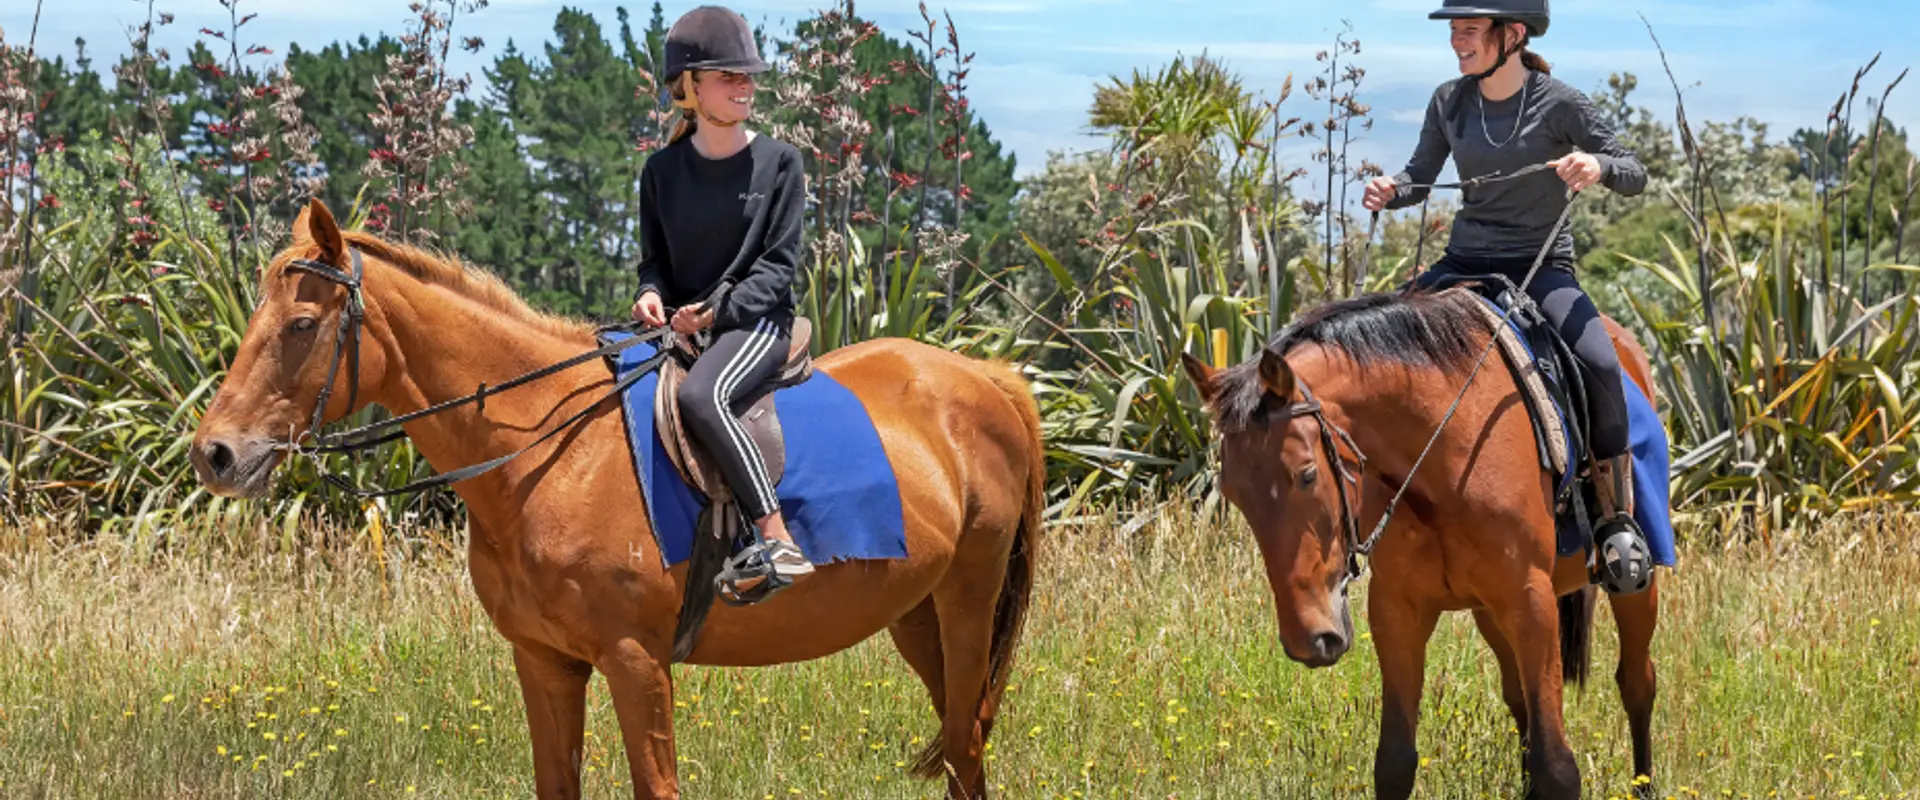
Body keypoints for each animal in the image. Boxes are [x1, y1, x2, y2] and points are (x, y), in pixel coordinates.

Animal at [190, 199, 1046, 800]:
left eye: (302, 324)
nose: (215, 454)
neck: (548, 454)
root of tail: (986, 377)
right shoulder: (544, 662)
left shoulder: (636, 663)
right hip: (916, 614)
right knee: (963, 742)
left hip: (968, 601)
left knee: (965, 745)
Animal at [1179, 287, 1661, 800]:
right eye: (1232, 492)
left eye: (1306, 474)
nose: (1310, 639)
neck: (1444, 452)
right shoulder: (1397, 610)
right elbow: (1394, 762)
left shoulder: (1530, 602)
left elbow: (1557, 768)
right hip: (1489, 613)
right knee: (1519, 699)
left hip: (1633, 586)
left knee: (1636, 683)